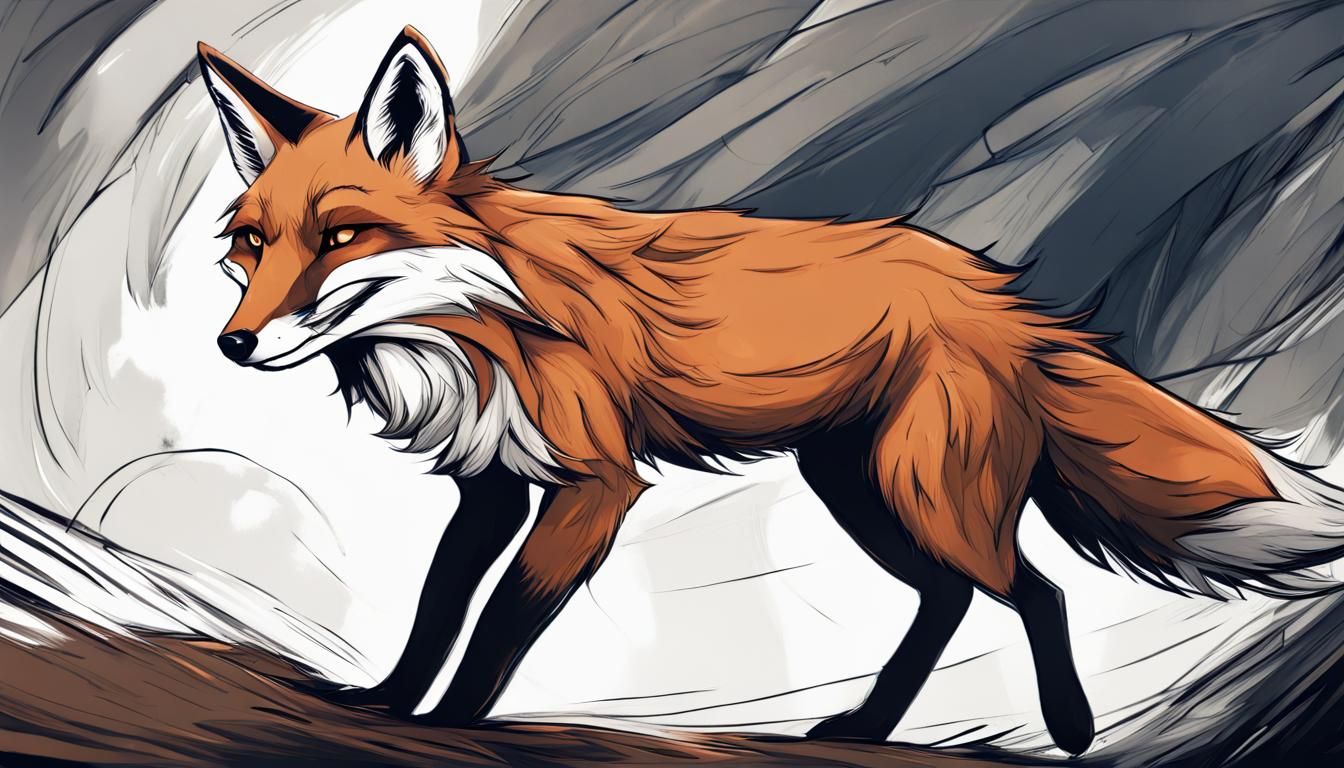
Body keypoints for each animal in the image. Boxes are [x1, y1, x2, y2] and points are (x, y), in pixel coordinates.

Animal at [197, 26, 1344, 756]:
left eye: (342, 235)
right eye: (253, 244)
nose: (232, 343)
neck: (480, 326)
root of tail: (1000, 292)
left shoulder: (593, 485)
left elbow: (499, 624)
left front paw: (451, 723)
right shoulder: (493, 482)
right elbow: (437, 604)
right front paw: (390, 704)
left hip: (926, 493)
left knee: (1036, 590)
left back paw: (1069, 730)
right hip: (862, 490)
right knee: (949, 599)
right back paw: (870, 728)